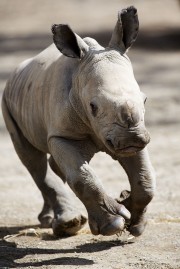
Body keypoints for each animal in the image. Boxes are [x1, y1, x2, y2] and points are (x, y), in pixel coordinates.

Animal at [1, 6, 155, 237]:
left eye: (145, 99)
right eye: (93, 106)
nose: (131, 139)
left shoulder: (133, 135)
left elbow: (145, 179)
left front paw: (133, 224)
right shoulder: (61, 135)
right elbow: (82, 178)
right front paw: (113, 224)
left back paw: (51, 221)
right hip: (7, 101)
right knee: (32, 159)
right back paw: (67, 224)